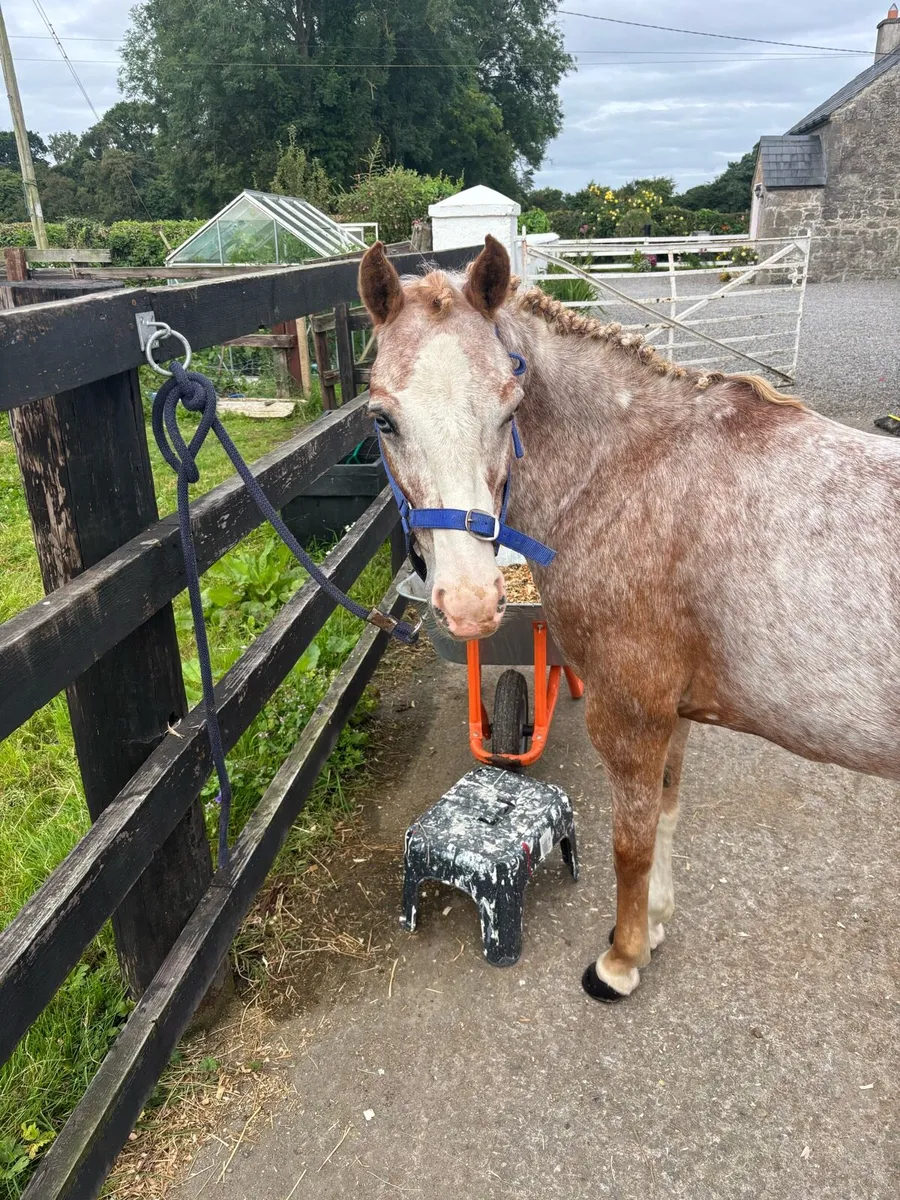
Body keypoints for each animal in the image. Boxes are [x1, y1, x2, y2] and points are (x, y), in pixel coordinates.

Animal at [358, 234, 900, 1002]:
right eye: (383, 419)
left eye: (508, 409)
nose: (469, 601)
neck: (633, 469)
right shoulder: (673, 712)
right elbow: (667, 817)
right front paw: (656, 926)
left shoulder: (630, 712)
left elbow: (631, 844)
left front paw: (621, 959)